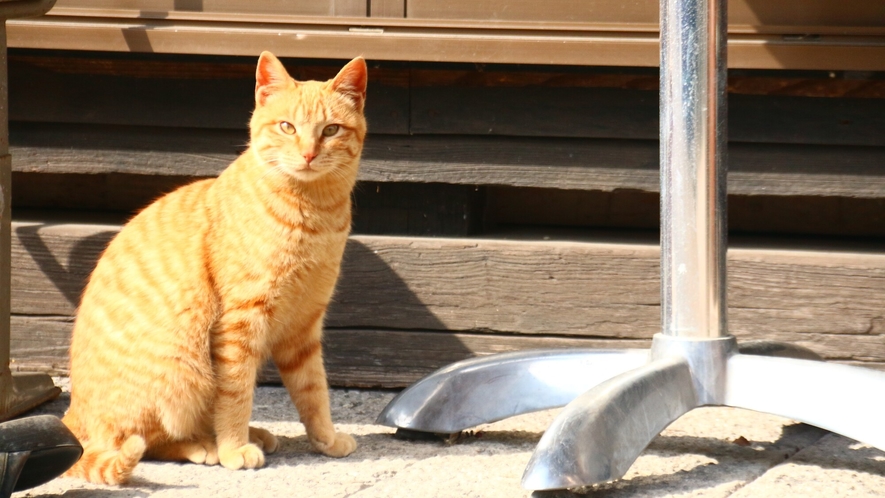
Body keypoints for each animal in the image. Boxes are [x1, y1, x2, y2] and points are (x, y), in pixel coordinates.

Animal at [62, 52, 364, 484]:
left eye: (331, 130)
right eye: (287, 127)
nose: (308, 154)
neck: (314, 214)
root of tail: (71, 414)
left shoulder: (304, 326)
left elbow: (314, 393)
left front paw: (326, 439)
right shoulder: (240, 322)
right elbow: (235, 394)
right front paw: (233, 448)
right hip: (180, 365)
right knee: (142, 442)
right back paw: (206, 445)